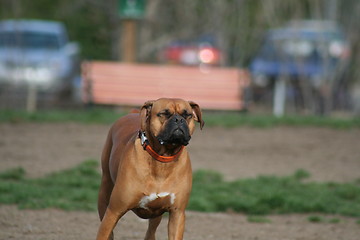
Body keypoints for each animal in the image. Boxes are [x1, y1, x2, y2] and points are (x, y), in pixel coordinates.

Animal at [97, 98, 204, 240]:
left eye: (187, 115)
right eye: (164, 113)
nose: (178, 120)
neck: (163, 159)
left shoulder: (177, 214)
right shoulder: (113, 212)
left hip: (156, 216)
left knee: (150, 232)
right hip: (104, 194)